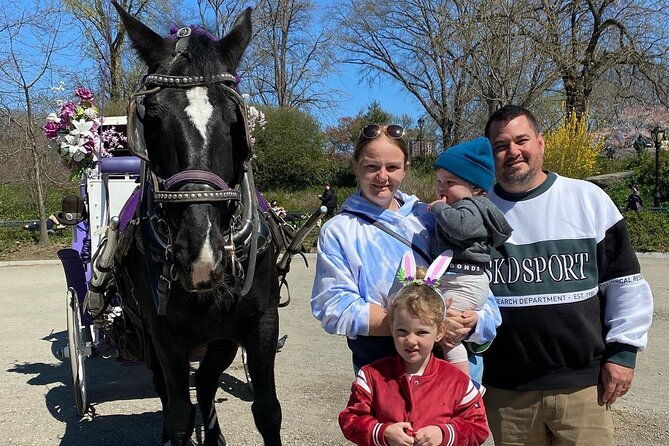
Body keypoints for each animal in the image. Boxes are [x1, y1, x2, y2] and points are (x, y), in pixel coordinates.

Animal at [111, 3, 282, 445]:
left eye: (236, 120)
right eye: (151, 119)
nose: (200, 254)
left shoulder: (259, 325)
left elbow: (267, 411)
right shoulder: (163, 334)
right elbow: (177, 413)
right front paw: (176, 431)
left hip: (219, 339)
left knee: (204, 381)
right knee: (170, 393)